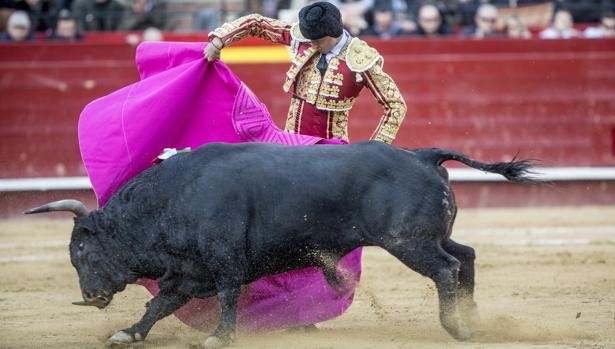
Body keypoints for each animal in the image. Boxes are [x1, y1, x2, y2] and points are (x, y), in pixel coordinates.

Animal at [25, 140, 536, 346]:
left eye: (81, 251)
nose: (91, 296)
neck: (172, 199)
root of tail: (422, 155)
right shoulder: (189, 273)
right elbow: (159, 306)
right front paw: (128, 333)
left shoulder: (222, 263)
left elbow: (228, 297)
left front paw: (220, 336)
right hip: (431, 236)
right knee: (466, 256)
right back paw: (472, 317)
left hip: (408, 242)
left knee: (447, 269)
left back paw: (457, 328)